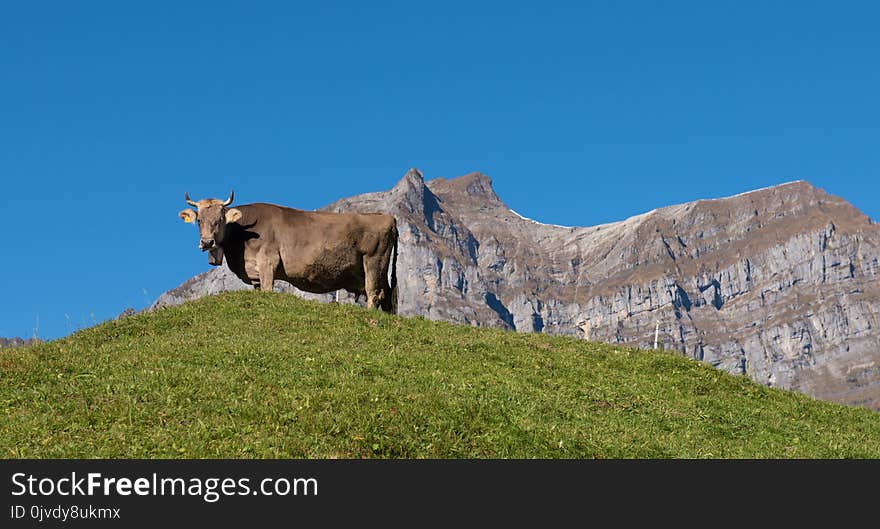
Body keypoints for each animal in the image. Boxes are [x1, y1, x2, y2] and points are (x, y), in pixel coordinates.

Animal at [179, 191, 398, 312]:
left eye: (219, 220)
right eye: (199, 220)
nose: (207, 242)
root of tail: (388, 218)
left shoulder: (268, 262)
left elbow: (268, 289)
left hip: (373, 261)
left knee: (374, 293)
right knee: (387, 296)